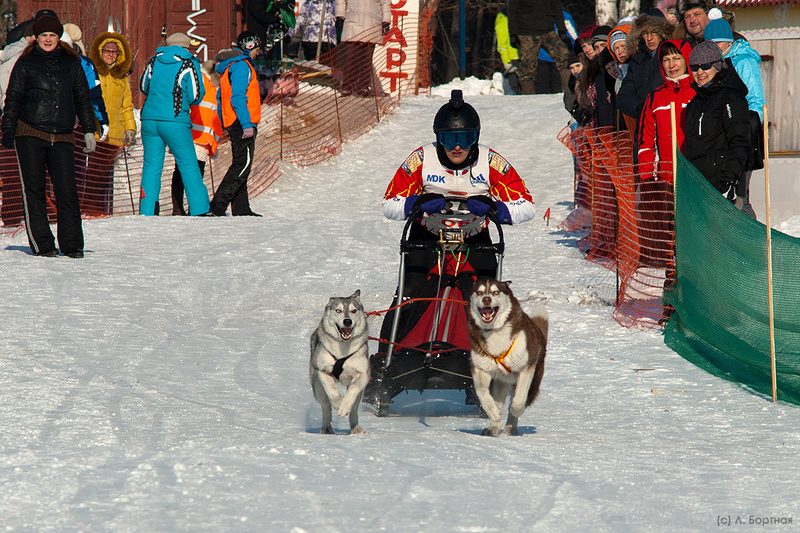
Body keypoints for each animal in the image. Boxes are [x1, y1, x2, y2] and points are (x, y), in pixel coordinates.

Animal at [310, 290, 370, 435]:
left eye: (353, 311)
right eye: (338, 310)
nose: (347, 321)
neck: (342, 349)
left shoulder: (363, 374)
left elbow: (353, 390)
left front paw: (344, 406)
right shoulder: (322, 371)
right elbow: (332, 391)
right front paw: (338, 403)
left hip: (360, 394)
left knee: (354, 408)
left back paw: (355, 427)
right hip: (317, 388)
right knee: (325, 405)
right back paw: (327, 427)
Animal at [467, 279, 548, 436]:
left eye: (495, 292)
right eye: (479, 292)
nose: (486, 299)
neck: (495, 331)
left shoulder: (526, 368)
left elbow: (518, 400)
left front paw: (515, 410)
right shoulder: (480, 369)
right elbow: (482, 393)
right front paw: (493, 413)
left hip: (534, 381)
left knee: (519, 399)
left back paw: (510, 427)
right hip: (500, 383)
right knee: (497, 401)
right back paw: (493, 426)